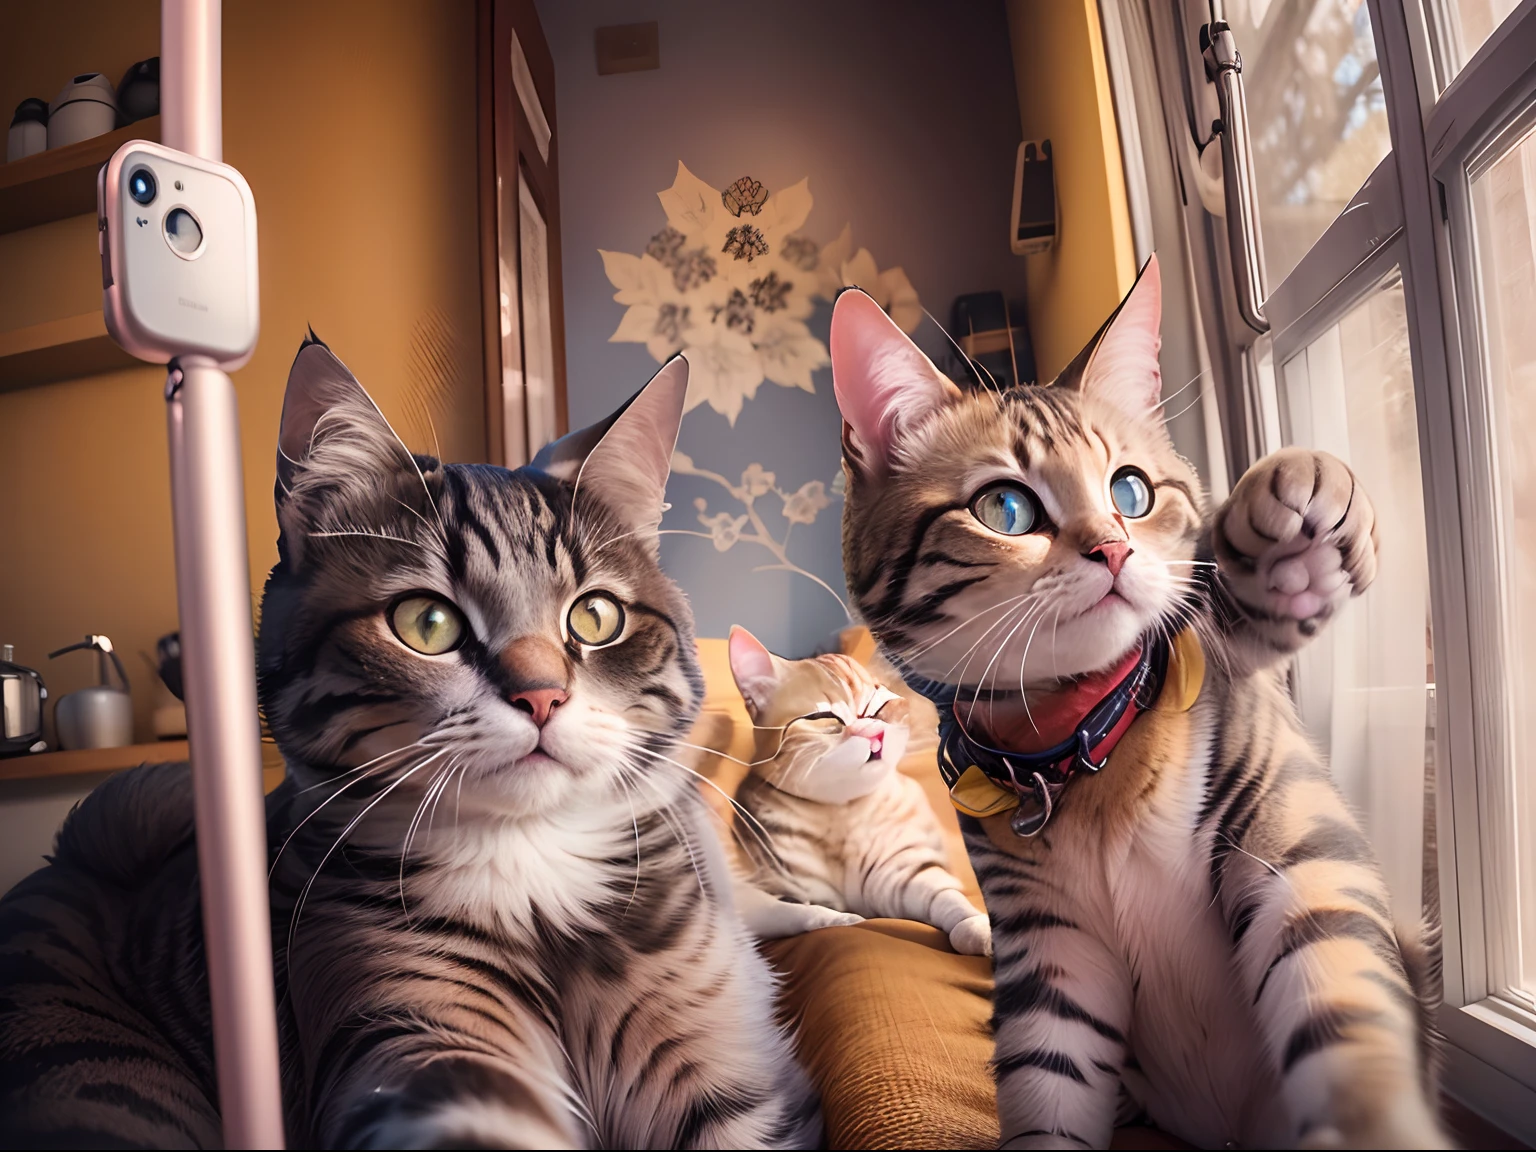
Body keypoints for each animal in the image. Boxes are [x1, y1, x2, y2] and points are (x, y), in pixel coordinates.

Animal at [0, 337, 823, 1148]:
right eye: (427, 624)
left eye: (595, 618)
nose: (542, 697)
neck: (536, 873)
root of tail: (72, 859)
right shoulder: (407, 1020)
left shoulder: (729, 1074)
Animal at [721, 626, 989, 958]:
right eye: (822, 717)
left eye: (878, 705)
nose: (874, 734)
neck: (840, 814)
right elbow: (796, 911)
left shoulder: (906, 877)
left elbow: (948, 898)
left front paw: (975, 927)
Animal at [835, 256, 1443, 1148]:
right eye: (1003, 507)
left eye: (1131, 491)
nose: (1114, 549)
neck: (1080, 742)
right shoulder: (1050, 951)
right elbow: (1046, 1093)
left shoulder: (1291, 839)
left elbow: (1343, 1005)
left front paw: (1294, 542)